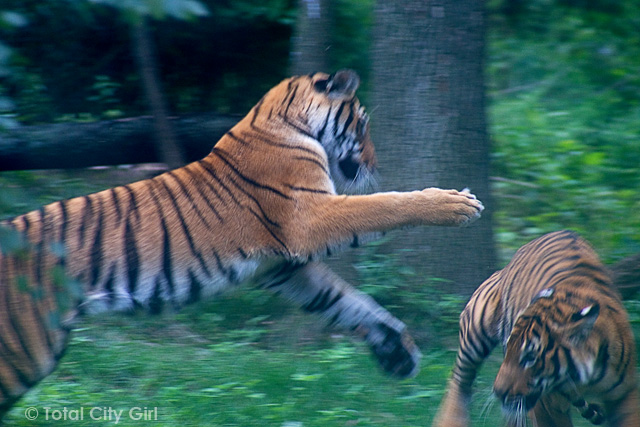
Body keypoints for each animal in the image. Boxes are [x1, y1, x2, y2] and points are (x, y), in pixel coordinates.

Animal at [0, 69, 482, 418]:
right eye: (362, 125)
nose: (376, 164)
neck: (278, 117)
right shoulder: (310, 219)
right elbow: (387, 205)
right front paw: (457, 203)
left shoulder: (282, 267)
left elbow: (348, 300)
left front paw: (397, 350)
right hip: (22, 354)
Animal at [432, 232, 636, 426]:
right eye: (509, 351)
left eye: (530, 357)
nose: (498, 392)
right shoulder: (545, 405)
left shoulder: (624, 393)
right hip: (476, 326)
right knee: (460, 380)